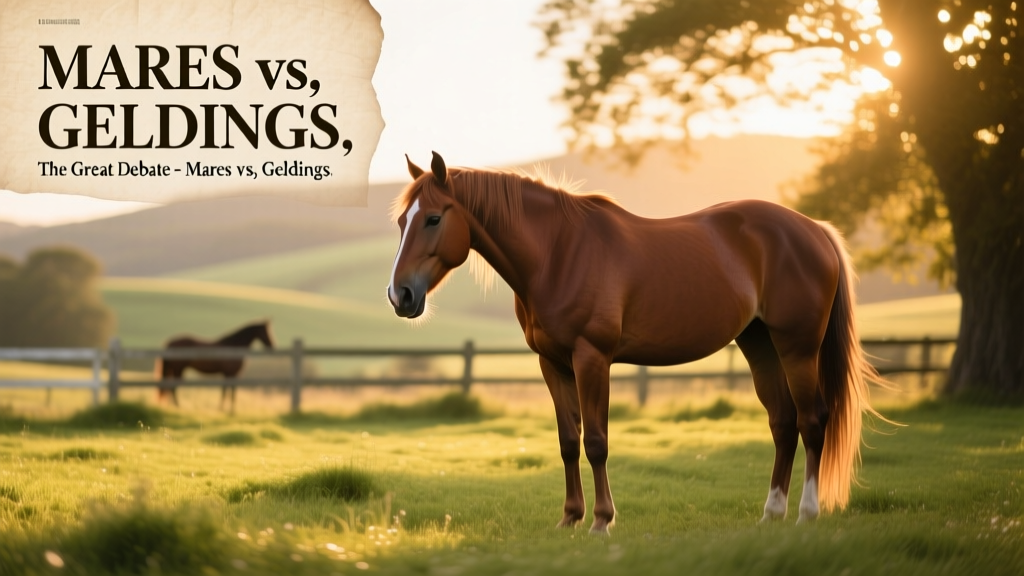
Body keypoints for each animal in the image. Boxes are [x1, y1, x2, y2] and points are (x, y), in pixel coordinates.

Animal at [388, 152, 883, 534]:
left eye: (434, 218)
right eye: (400, 222)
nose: (400, 295)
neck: (558, 254)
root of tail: (815, 230)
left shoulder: (592, 358)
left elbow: (596, 441)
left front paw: (601, 520)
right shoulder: (553, 363)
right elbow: (568, 441)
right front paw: (569, 518)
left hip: (798, 347)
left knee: (813, 420)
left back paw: (806, 513)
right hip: (759, 343)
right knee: (782, 423)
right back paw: (771, 513)